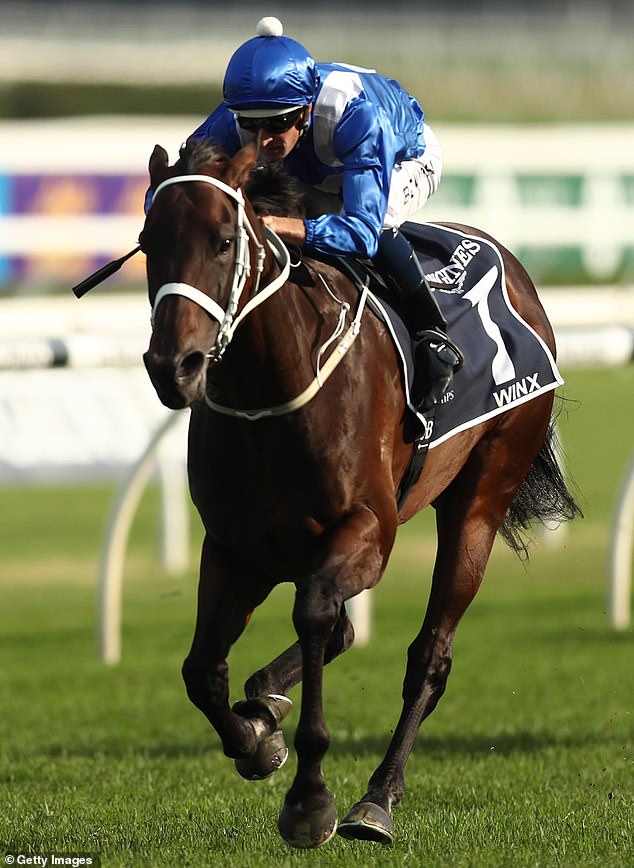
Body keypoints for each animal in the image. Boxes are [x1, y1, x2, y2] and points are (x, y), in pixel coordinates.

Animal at [139, 141, 576, 848]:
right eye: (149, 241)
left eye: (224, 240)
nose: (172, 367)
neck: (272, 388)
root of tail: (513, 268)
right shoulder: (234, 549)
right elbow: (202, 671)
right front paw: (256, 739)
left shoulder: (367, 530)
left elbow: (316, 614)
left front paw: (309, 799)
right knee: (336, 635)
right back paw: (267, 702)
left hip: (481, 497)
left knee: (429, 654)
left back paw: (376, 799)